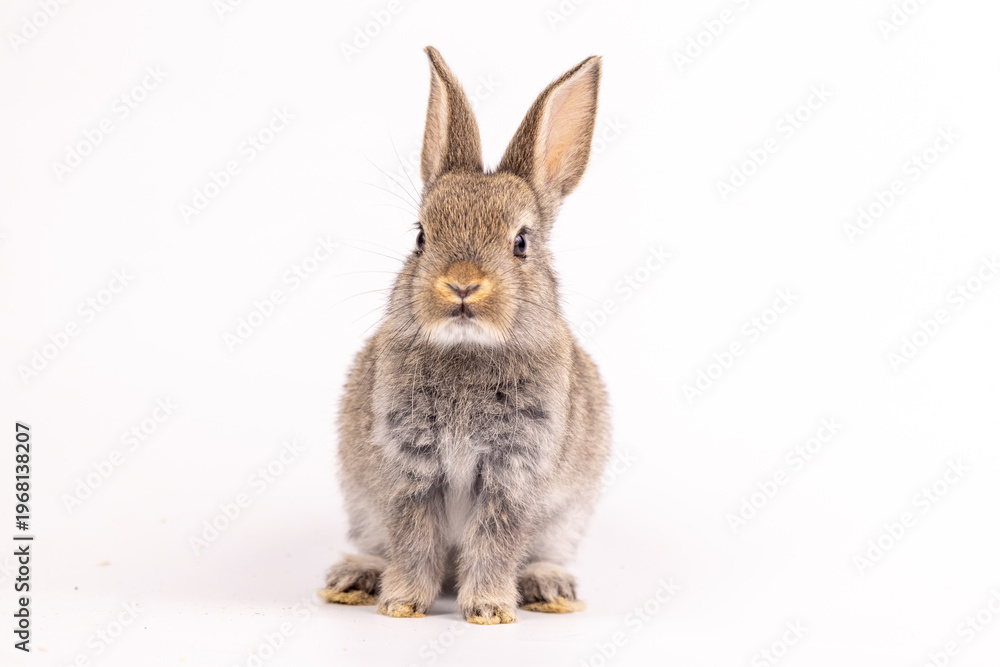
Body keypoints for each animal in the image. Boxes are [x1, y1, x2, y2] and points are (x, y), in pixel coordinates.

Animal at [318, 46, 611, 625]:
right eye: (420, 236)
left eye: (521, 242)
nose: (461, 284)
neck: (467, 349)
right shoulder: (408, 467)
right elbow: (413, 538)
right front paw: (403, 604)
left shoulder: (513, 469)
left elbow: (496, 538)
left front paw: (490, 611)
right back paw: (355, 578)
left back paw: (549, 588)